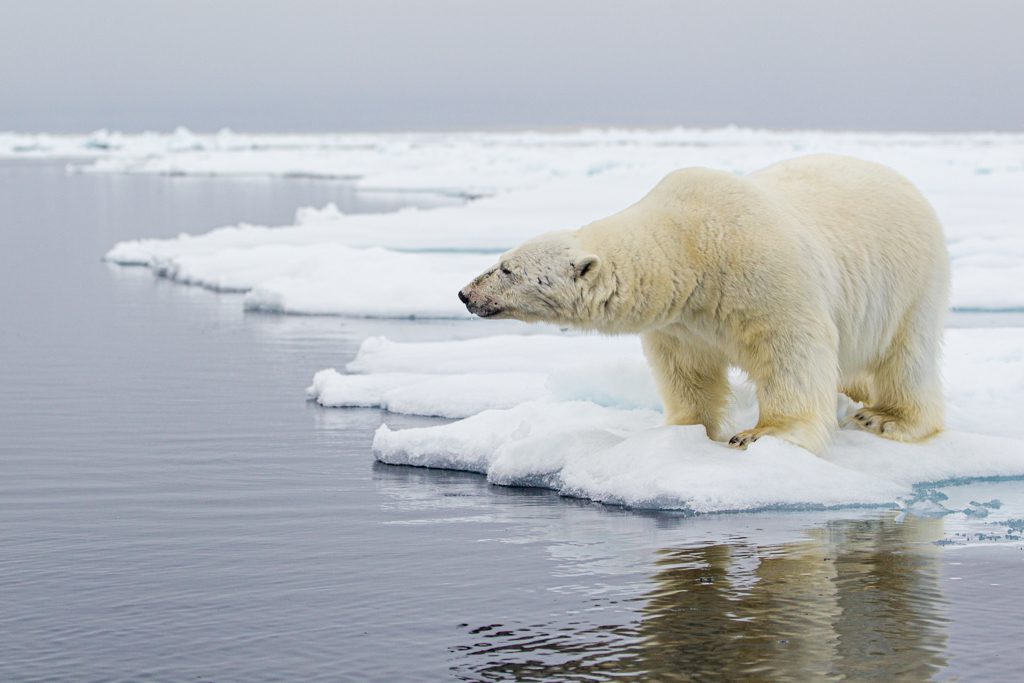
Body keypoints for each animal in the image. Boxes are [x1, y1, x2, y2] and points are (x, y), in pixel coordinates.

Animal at [458, 154, 950, 454]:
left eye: (506, 268)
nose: (465, 294)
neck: (689, 248)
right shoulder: (682, 319)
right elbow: (686, 370)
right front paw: (682, 430)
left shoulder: (765, 275)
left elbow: (792, 350)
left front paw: (759, 435)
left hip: (909, 278)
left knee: (907, 356)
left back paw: (885, 418)